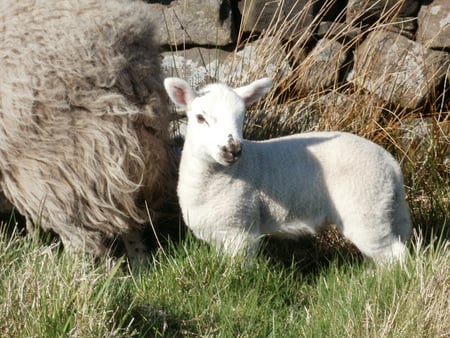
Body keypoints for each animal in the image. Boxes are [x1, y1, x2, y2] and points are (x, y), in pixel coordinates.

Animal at [0, 0, 176, 258]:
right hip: (123, 146)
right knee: (128, 215)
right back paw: (139, 262)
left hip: (59, 162)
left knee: (80, 234)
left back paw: (73, 267)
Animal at [164, 77, 412, 264]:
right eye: (200, 118)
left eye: (241, 117)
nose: (232, 150)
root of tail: (391, 164)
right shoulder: (220, 231)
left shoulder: (241, 230)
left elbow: (236, 270)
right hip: (380, 207)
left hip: (365, 207)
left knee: (395, 254)